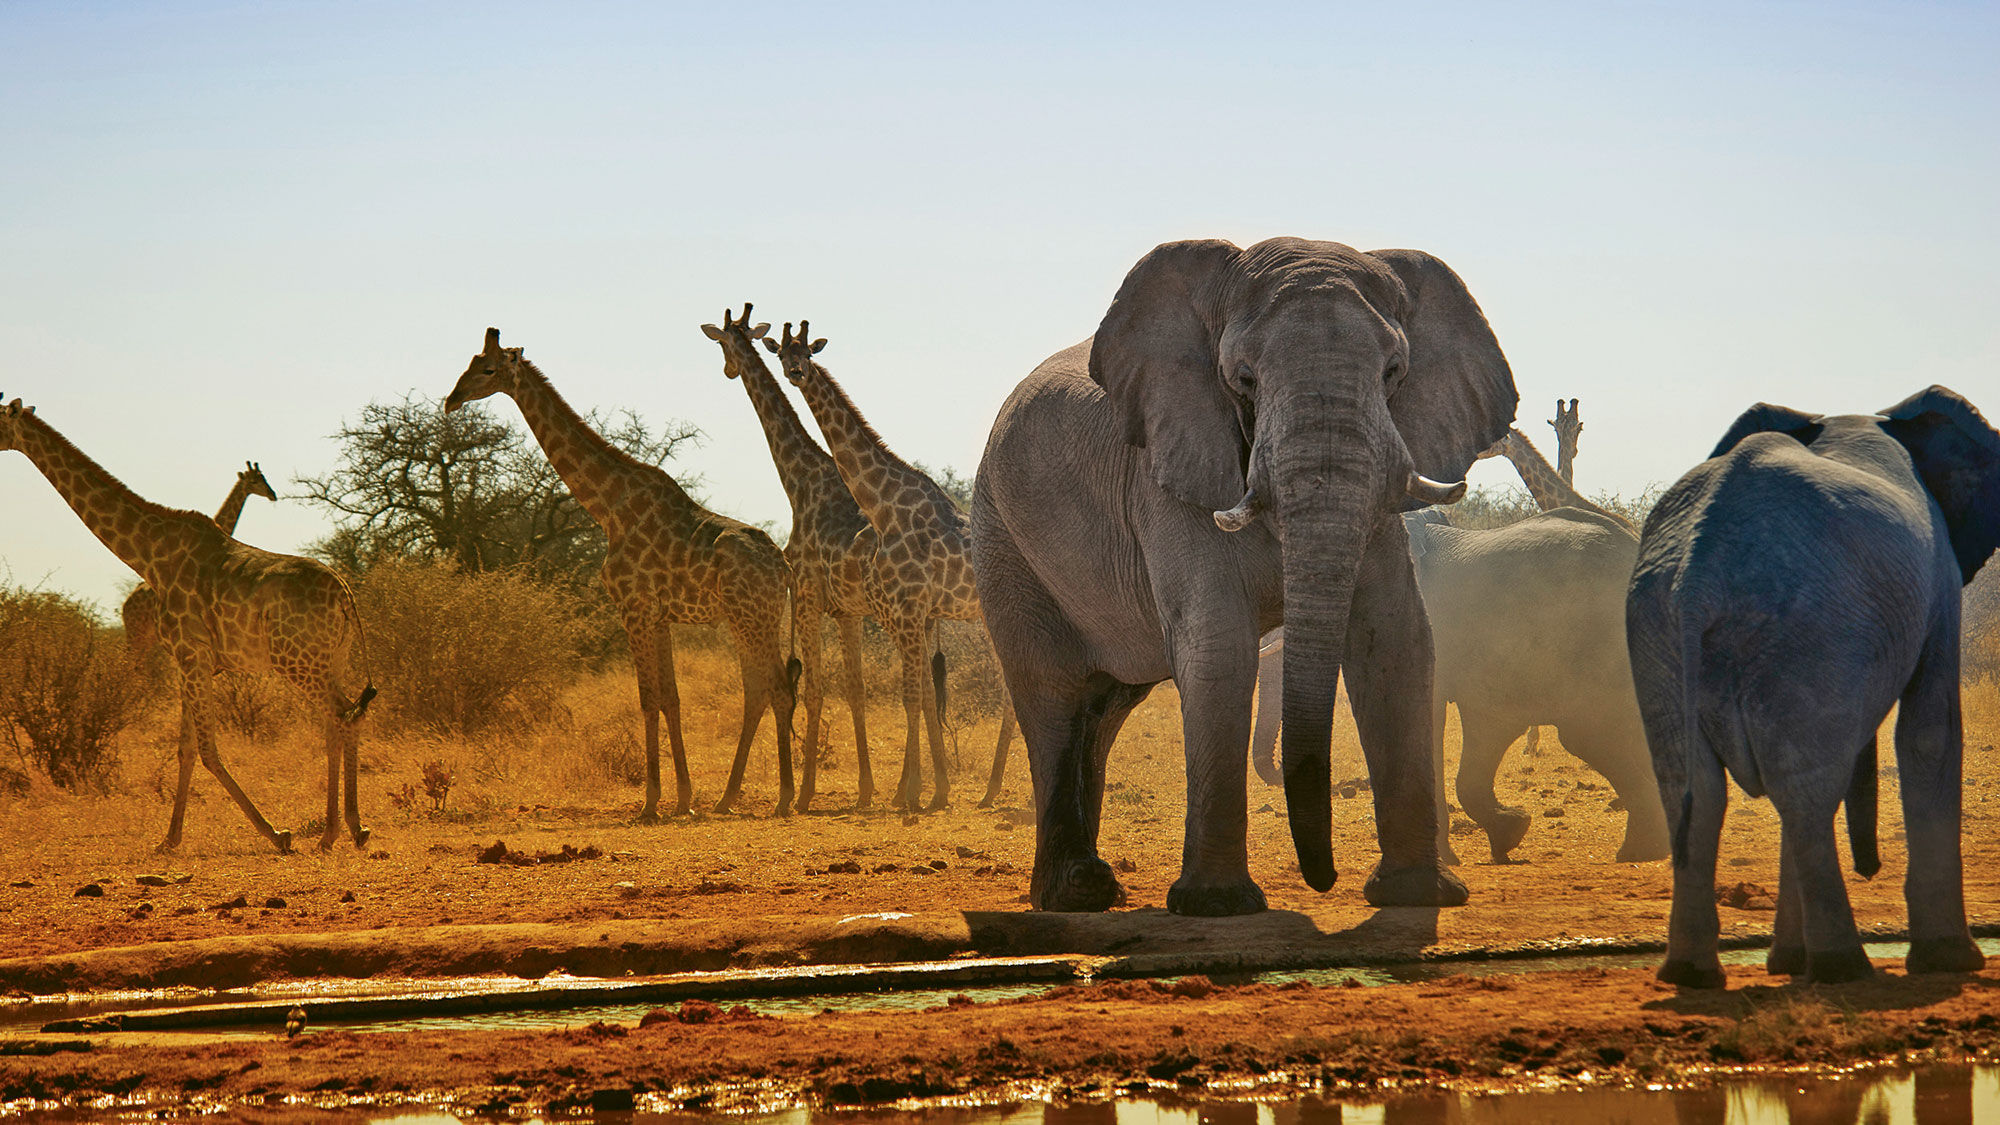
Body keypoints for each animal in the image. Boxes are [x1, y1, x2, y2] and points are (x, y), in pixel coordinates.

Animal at [446, 329, 798, 819]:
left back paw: (784, 797)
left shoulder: (633, 608)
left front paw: (650, 802)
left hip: (752, 618)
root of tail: (783, 567)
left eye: (488, 369)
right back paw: (727, 798)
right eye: (470, 362)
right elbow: (671, 698)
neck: (608, 507)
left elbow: (648, 698)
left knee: (778, 689)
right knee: (758, 691)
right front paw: (683, 800)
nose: (451, 400)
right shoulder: (658, 615)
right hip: (747, 618)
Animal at [703, 303, 877, 810]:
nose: (728, 369)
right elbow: (855, 690)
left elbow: (816, 689)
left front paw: (803, 794)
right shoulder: (846, 610)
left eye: (722, 343)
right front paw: (865, 790)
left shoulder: (806, 592)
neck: (800, 483)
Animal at [764, 321, 1016, 810]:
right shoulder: (905, 615)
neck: (883, 508)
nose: (796, 372)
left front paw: (913, 793)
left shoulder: (906, 612)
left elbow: (911, 697)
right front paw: (920, 792)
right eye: (783, 352)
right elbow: (914, 696)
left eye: (806, 351)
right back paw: (997, 791)